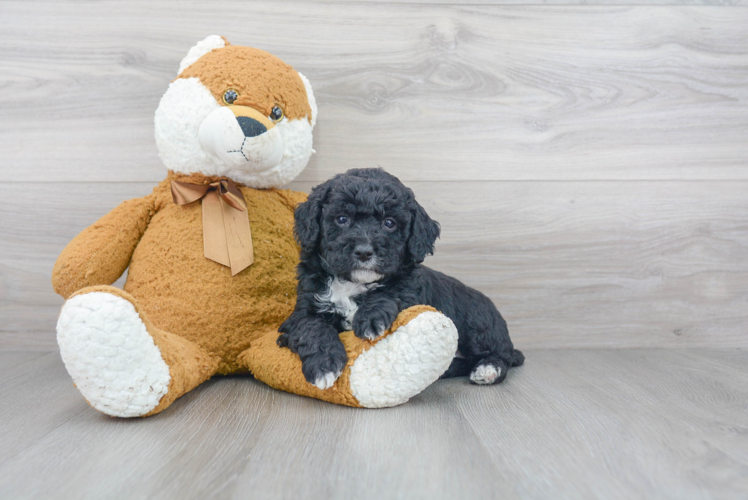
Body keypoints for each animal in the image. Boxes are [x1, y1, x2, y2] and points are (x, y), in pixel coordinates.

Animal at [278, 168, 524, 390]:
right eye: (341, 219)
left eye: (389, 223)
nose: (364, 252)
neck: (353, 283)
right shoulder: (302, 309)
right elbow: (311, 326)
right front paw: (324, 366)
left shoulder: (410, 292)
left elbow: (390, 292)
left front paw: (370, 318)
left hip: (477, 322)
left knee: (501, 355)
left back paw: (488, 369)